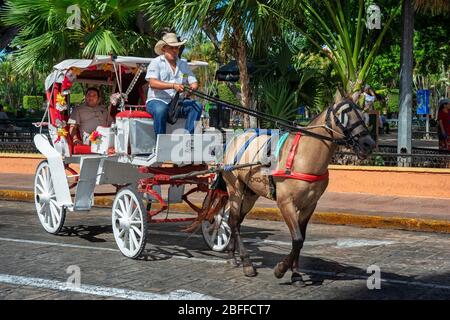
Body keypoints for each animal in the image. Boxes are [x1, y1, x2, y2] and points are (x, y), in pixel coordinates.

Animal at [222, 99, 376, 282]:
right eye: (343, 115)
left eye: (363, 114)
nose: (368, 143)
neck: (302, 157)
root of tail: (235, 139)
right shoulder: (285, 203)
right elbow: (297, 239)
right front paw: (281, 269)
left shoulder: (309, 205)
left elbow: (301, 239)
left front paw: (295, 273)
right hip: (235, 189)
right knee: (233, 222)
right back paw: (246, 263)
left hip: (250, 194)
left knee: (235, 220)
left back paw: (232, 255)